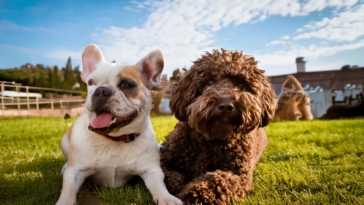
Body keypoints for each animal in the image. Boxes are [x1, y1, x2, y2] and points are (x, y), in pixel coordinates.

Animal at [159, 48, 276, 204]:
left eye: (241, 85)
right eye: (209, 82)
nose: (226, 105)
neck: (210, 139)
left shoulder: (240, 176)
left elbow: (220, 179)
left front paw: (195, 193)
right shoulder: (164, 159)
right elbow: (170, 175)